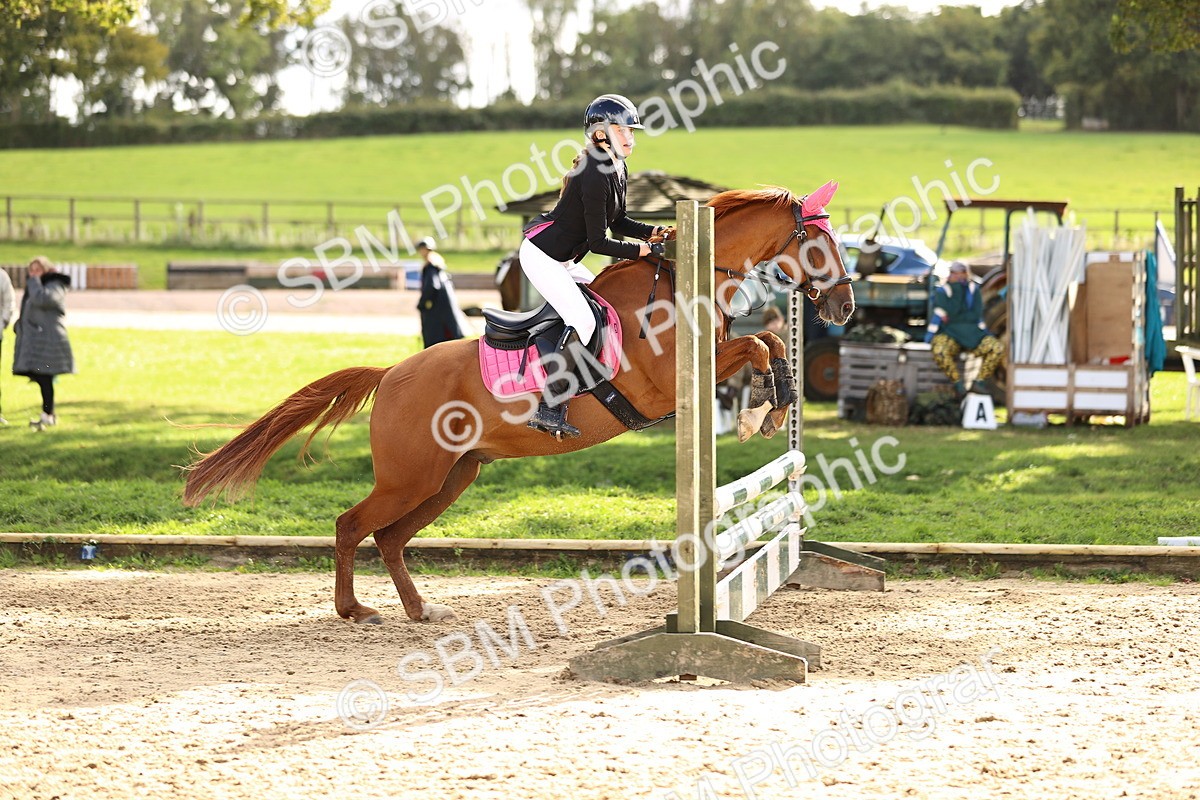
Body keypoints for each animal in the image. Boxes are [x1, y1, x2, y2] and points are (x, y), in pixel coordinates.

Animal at [182, 184, 855, 625]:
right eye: (821, 244)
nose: (845, 307)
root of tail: (392, 373)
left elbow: (770, 343)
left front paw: (773, 405)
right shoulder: (671, 381)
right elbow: (757, 344)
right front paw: (759, 411)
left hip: (452, 477)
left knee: (391, 539)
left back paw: (420, 609)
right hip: (410, 477)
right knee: (353, 525)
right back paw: (355, 610)